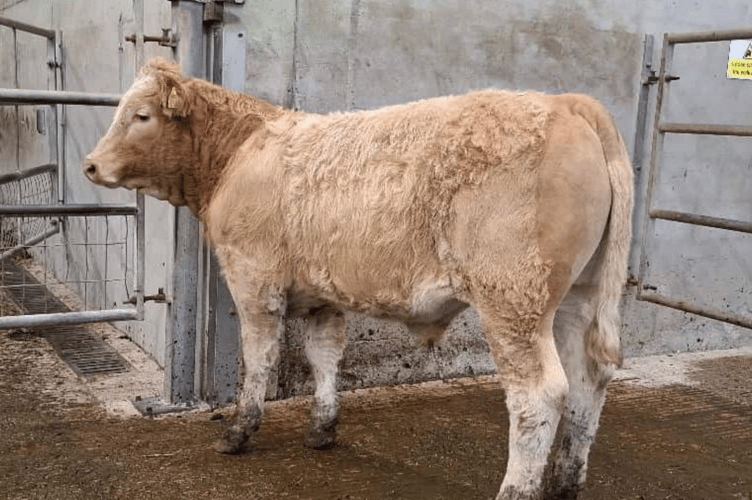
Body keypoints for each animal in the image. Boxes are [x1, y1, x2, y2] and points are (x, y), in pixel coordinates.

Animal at [84, 58, 633, 500]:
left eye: (141, 115)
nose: (90, 165)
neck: (238, 154)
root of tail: (566, 102)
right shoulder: (321, 293)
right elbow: (325, 354)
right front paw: (322, 429)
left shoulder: (253, 279)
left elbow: (258, 359)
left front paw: (239, 431)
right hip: (577, 297)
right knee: (588, 380)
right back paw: (565, 482)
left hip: (513, 299)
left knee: (539, 394)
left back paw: (518, 489)